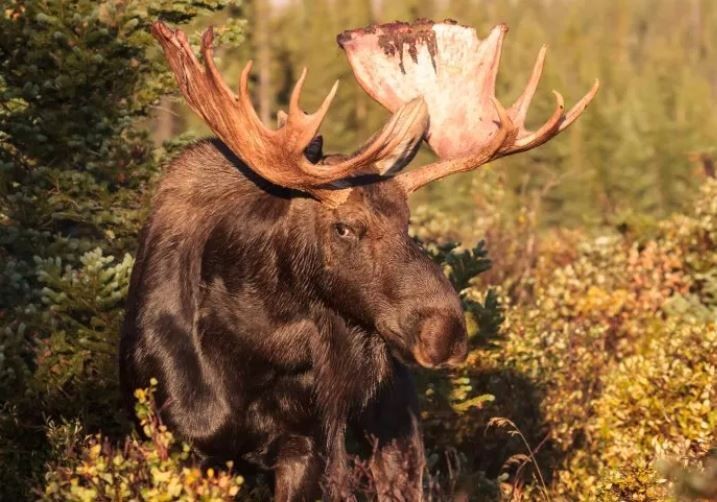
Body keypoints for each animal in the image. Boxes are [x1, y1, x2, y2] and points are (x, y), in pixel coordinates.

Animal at [120, 17, 596, 500]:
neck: (252, 351)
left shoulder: (306, 445)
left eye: (408, 221)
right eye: (344, 227)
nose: (446, 332)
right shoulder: (173, 441)